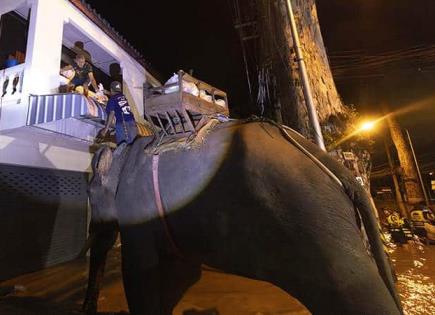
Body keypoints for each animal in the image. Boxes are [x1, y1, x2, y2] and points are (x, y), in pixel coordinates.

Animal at [83, 120, 404, 315]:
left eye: (89, 192)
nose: (90, 307)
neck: (125, 150)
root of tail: (338, 169)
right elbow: (180, 276)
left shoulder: (136, 206)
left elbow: (140, 273)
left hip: (319, 228)